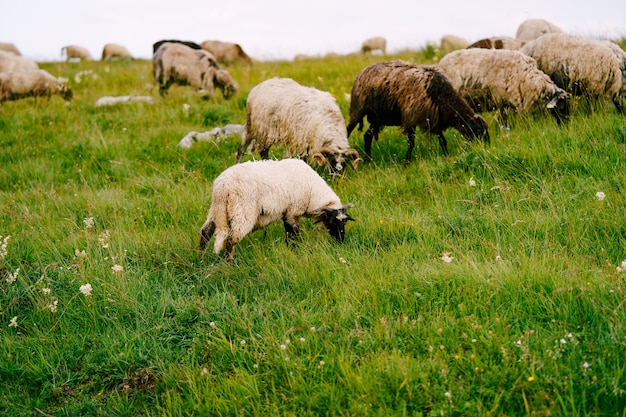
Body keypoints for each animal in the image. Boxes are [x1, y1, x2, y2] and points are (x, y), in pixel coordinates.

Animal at [197, 158, 354, 260]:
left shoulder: (287, 213)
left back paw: (201, 258)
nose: (341, 241)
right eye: (332, 222)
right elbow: (294, 235)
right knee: (231, 240)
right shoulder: (293, 212)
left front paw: (290, 251)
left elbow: (288, 234)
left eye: (344, 222)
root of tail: (223, 186)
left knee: (205, 231)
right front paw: (296, 251)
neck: (312, 192)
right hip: (242, 212)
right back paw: (228, 264)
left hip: (217, 210)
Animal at [346, 60, 488, 161]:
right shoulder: (411, 118)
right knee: (348, 130)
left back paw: (368, 159)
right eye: (478, 131)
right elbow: (411, 143)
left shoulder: (434, 119)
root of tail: (362, 71)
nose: (485, 148)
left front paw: (447, 157)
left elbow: (443, 141)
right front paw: (407, 162)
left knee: (367, 136)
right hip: (358, 110)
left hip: (377, 117)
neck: (439, 93)